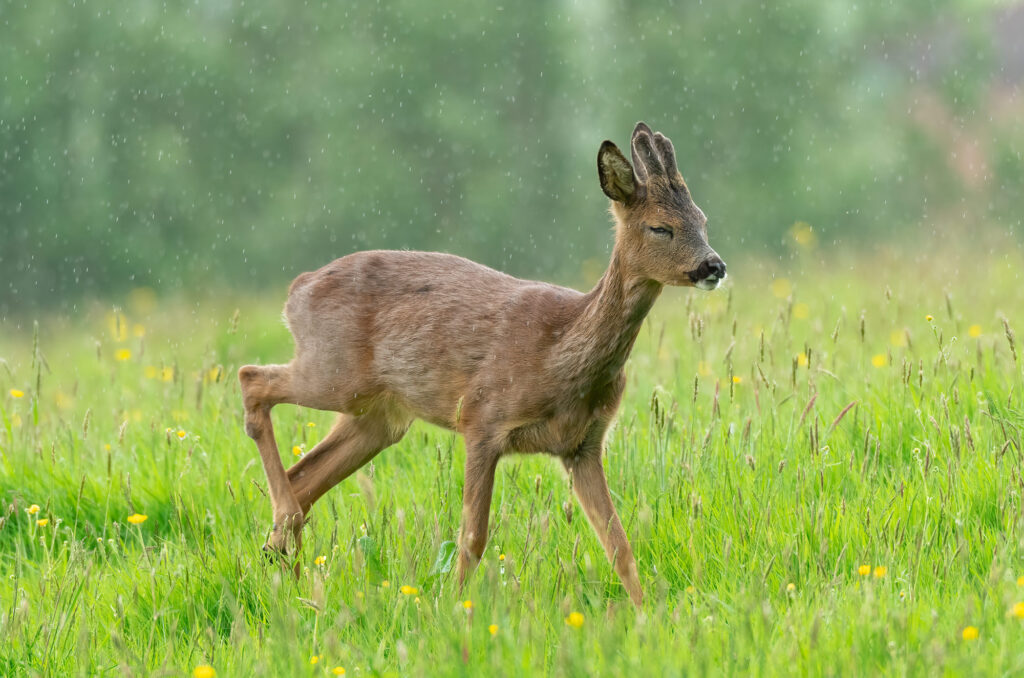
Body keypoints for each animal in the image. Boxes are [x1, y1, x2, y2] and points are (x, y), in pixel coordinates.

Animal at [236, 122, 724, 606]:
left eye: (702, 220)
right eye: (660, 228)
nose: (713, 266)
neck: (559, 355)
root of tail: (296, 291)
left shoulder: (582, 446)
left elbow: (619, 544)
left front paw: (647, 615)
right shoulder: (481, 418)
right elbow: (472, 538)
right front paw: (456, 610)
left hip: (379, 416)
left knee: (304, 475)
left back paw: (287, 570)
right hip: (334, 372)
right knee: (251, 379)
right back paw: (285, 541)